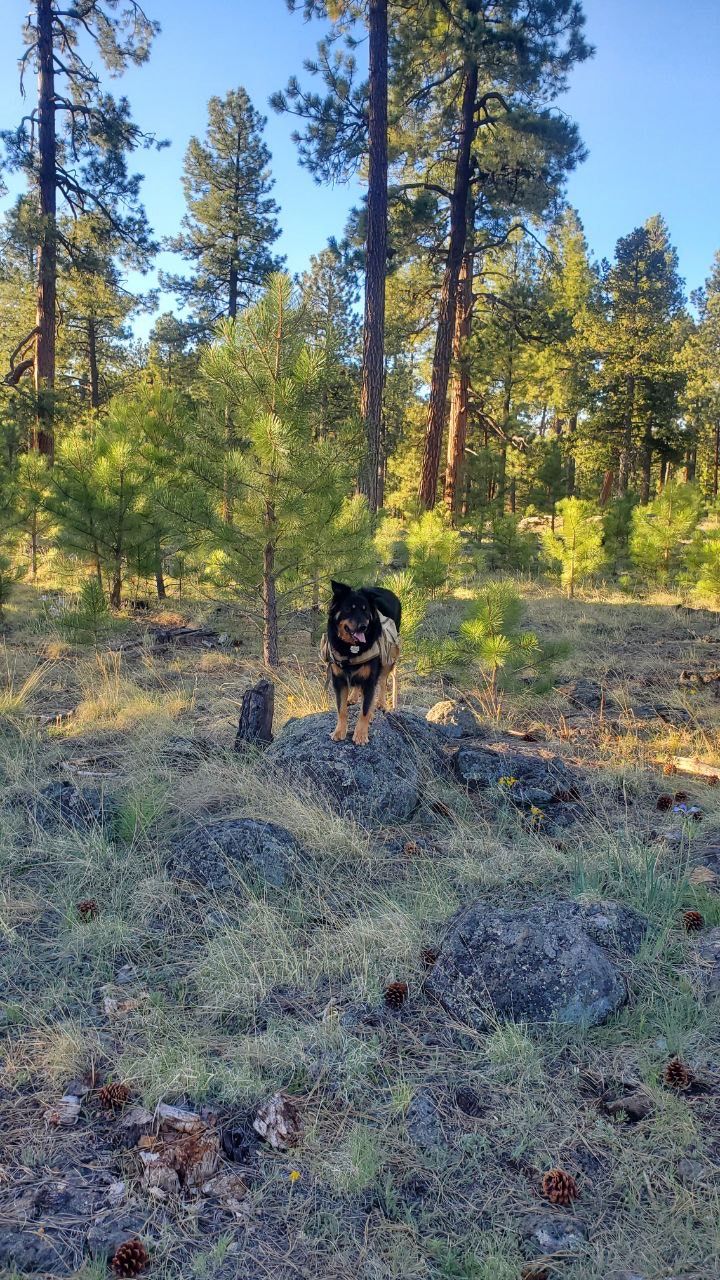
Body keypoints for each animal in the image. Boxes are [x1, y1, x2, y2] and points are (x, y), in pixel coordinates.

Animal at [322, 578, 399, 747]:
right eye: (349, 609)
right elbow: (341, 709)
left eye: (365, 610)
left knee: (382, 682)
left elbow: (364, 709)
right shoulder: (339, 680)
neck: (352, 648)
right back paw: (353, 697)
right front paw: (339, 731)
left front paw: (361, 734)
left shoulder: (370, 679)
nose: (363, 626)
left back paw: (380, 704)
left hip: (388, 658)